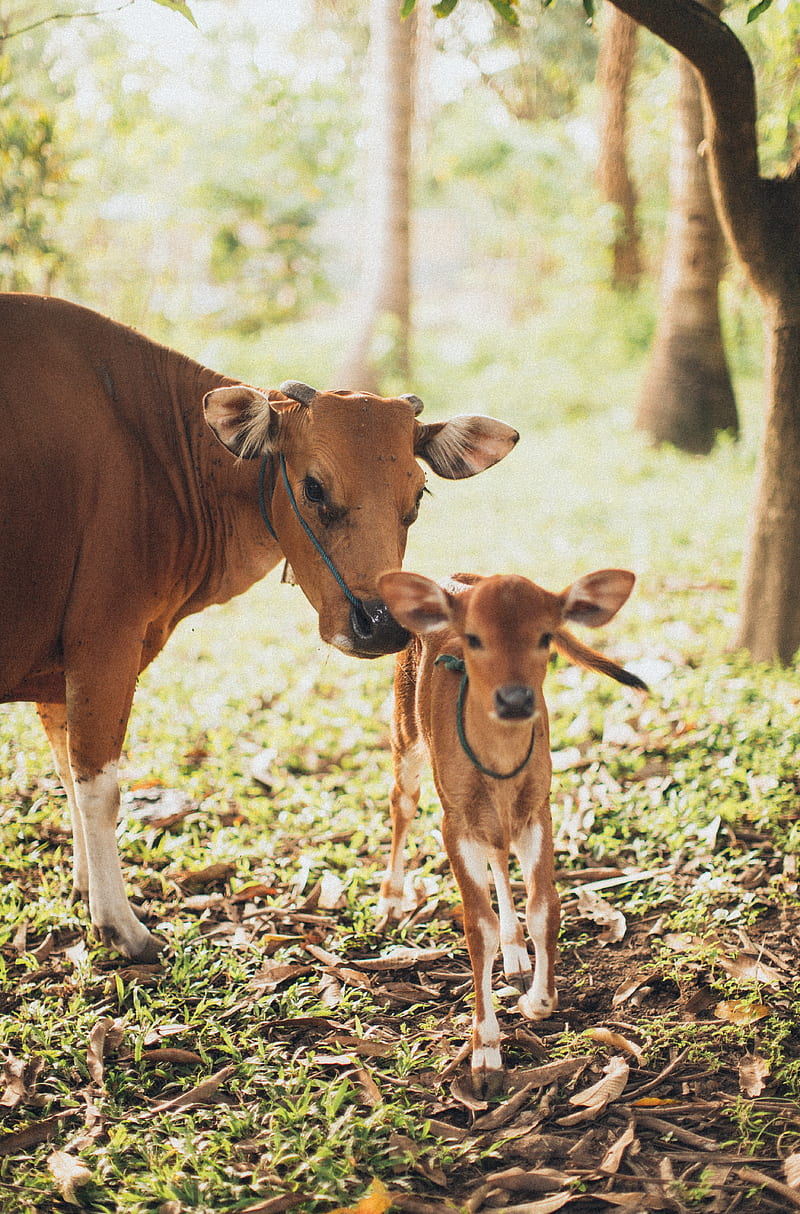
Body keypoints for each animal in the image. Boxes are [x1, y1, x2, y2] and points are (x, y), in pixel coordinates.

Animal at [0, 294, 519, 962]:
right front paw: (120, 925)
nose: (380, 626)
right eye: (314, 487)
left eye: (419, 495)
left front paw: (87, 889)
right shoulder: (103, 642)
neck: (158, 453)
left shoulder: (60, 667)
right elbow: (98, 784)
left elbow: (66, 773)